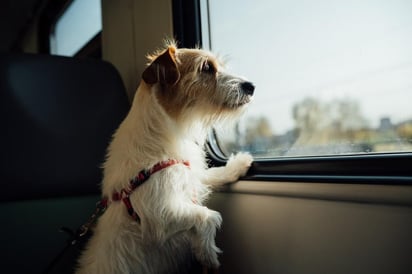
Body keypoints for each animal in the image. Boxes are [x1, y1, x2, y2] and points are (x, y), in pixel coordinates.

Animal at [75, 41, 254, 274]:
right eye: (206, 68)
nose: (251, 86)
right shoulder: (159, 214)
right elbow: (207, 216)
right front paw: (207, 253)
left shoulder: (187, 173)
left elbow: (211, 174)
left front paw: (239, 164)